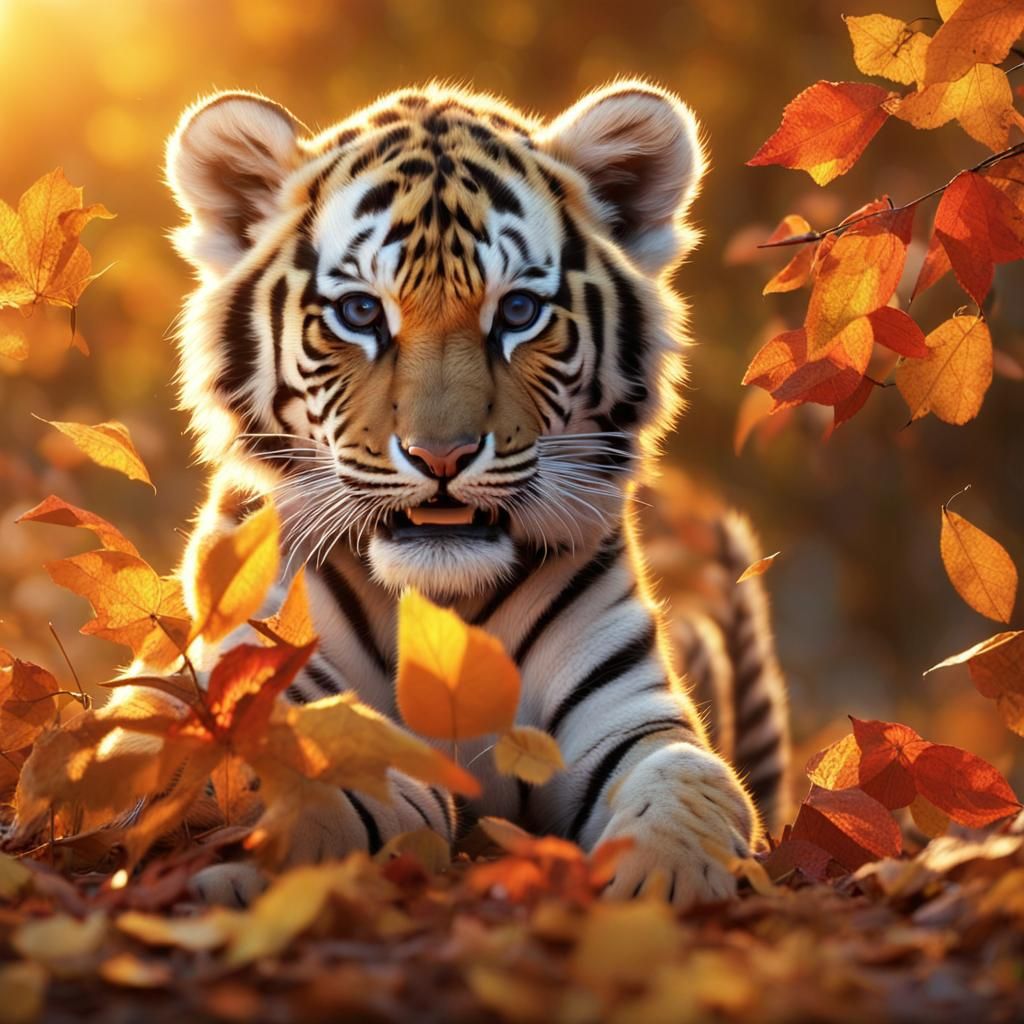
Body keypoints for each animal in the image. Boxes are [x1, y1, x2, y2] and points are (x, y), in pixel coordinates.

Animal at [153, 80, 789, 906]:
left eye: (517, 312)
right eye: (361, 313)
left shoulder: (628, 712)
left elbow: (692, 776)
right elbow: (306, 763)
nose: (442, 454)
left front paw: (665, 877)